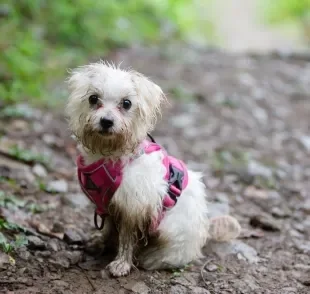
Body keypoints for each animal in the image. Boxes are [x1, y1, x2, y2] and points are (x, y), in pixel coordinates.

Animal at [65, 60, 240, 276]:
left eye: (127, 103)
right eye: (93, 98)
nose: (106, 121)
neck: (113, 155)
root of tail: (206, 227)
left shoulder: (134, 208)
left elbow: (126, 239)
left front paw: (121, 264)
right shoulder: (111, 207)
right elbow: (108, 229)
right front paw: (101, 243)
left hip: (170, 233)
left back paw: (152, 257)